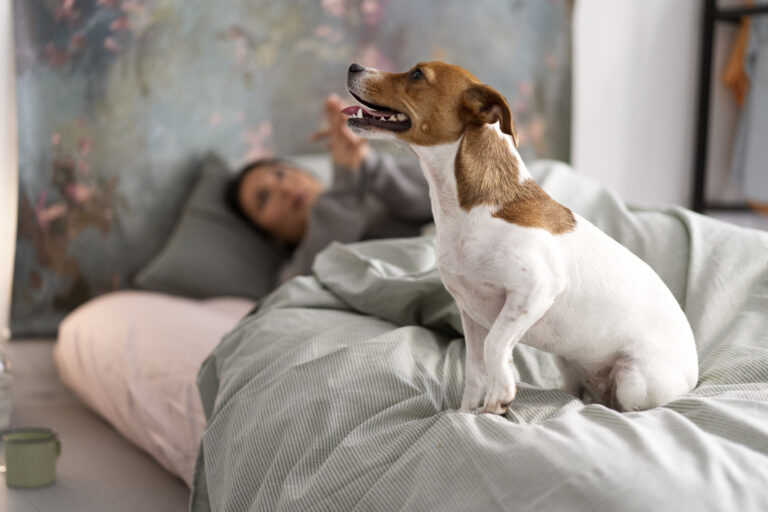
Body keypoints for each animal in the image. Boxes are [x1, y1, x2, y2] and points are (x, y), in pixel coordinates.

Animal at [340, 62, 696, 414]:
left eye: (416, 74)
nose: (353, 65)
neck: (467, 210)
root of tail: (693, 376)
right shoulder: (470, 312)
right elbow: (475, 370)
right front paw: (466, 414)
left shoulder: (535, 290)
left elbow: (495, 345)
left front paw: (501, 394)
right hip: (565, 359)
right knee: (574, 392)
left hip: (633, 380)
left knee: (620, 406)